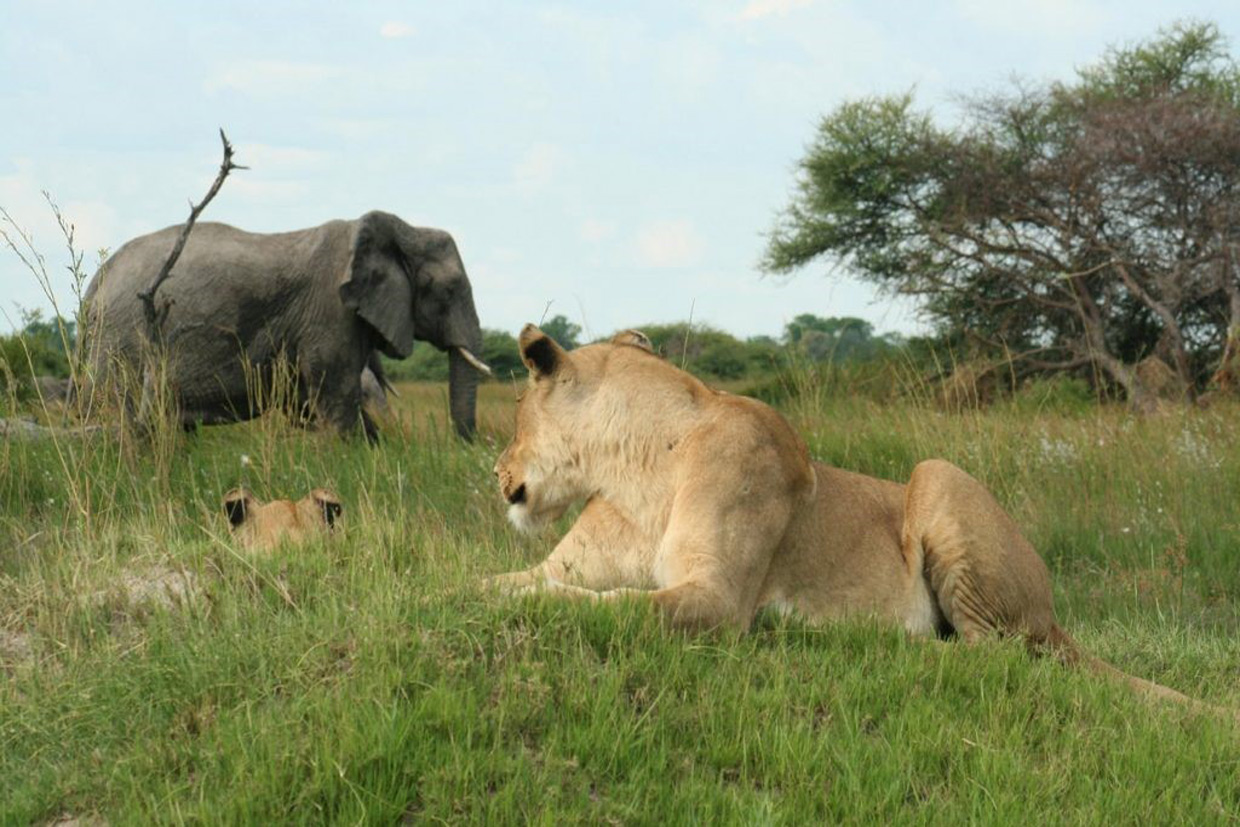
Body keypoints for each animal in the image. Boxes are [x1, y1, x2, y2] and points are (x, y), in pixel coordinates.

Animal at [487, 324, 1231, 717]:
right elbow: (502, 581)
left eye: (515, 412)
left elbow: (614, 605)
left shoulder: (719, 601)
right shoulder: (565, 559)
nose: (495, 472)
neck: (633, 470)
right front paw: (475, 592)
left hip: (938, 474)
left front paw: (533, 606)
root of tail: (1052, 612)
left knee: (997, 656)